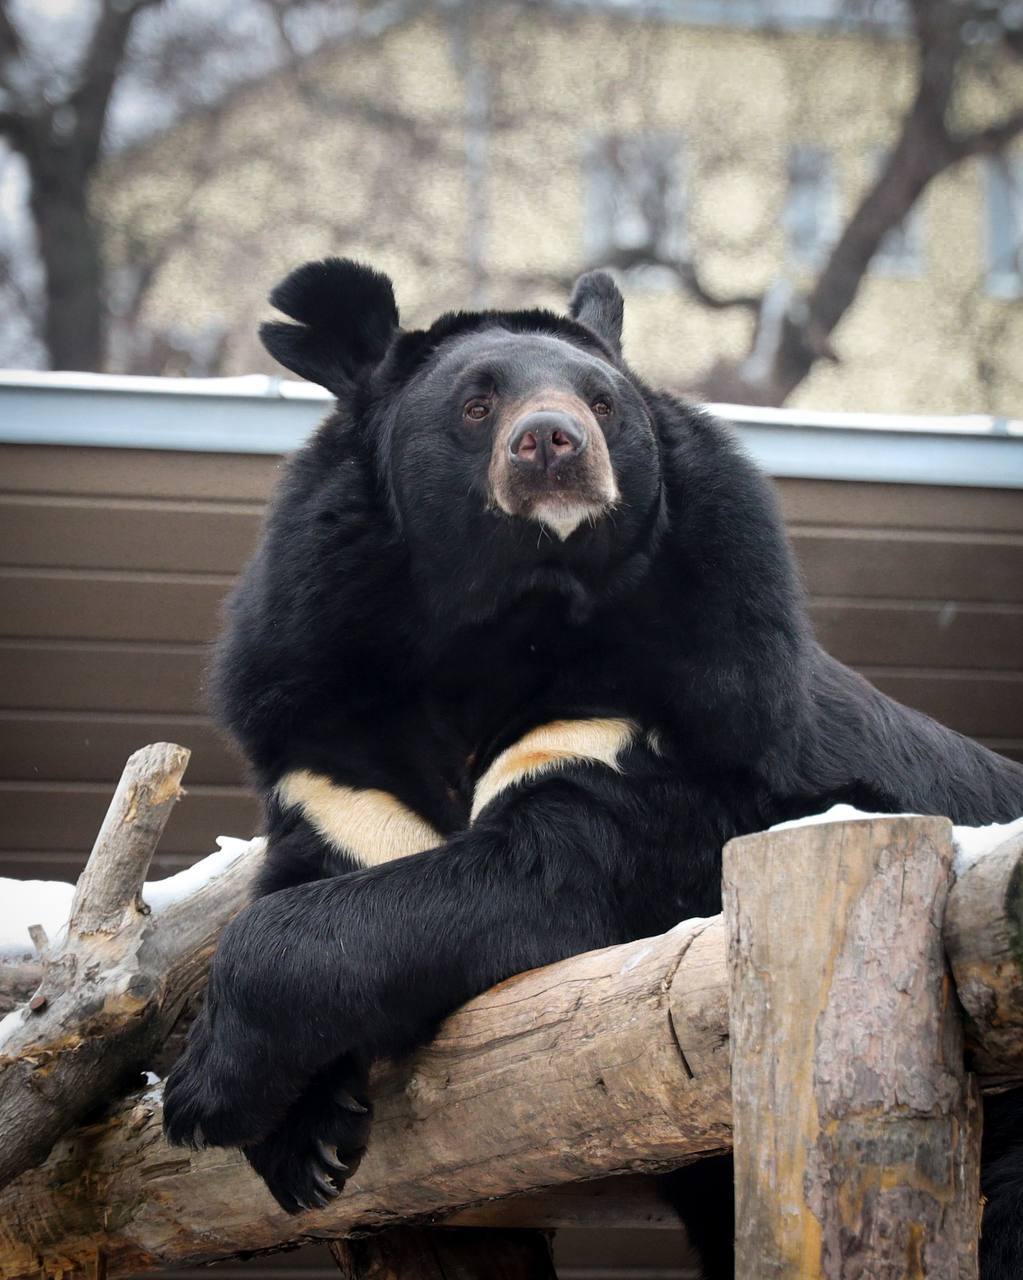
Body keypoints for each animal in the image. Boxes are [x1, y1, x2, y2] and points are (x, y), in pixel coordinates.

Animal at [163, 262, 1023, 1280]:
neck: (502, 615)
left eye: (603, 401)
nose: (552, 443)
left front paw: (202, 1089)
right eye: (476, 402)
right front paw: (307, 1146)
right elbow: (307, 884)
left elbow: (541, 880)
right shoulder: (328, 738)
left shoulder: (661, 708)